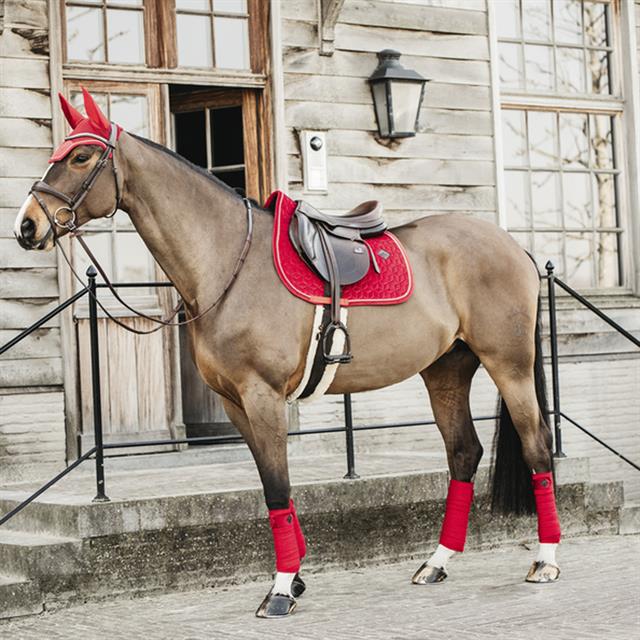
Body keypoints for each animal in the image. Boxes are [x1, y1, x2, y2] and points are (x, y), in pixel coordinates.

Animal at [11, 89, 560, 616]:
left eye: (81, 156)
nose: (27, 225)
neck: (229, 261)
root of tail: (512, 245)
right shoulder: (236, 404)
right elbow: (272, 489)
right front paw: (294, 577)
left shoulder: (263, 397)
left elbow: (278, 486)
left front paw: (279, 589)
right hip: (446, 371)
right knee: (463, 453)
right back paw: (437, 562)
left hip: (509, 366)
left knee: (537, 446)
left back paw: (545, 560)